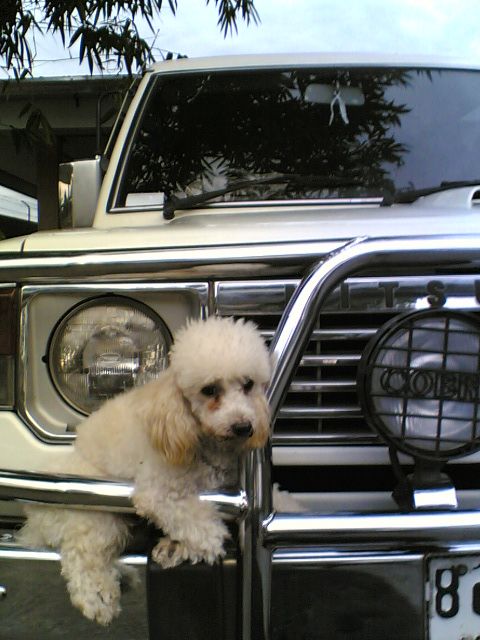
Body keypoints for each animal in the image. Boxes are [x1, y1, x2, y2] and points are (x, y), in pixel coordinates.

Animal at [19, 316, 273, 625]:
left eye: (248, 385)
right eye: (209, 390)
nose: (244, 427)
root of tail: (33, 520)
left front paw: (176, 546)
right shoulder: (158, 492)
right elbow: (190, 515)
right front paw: (209, 538)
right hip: (95, 512)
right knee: (82, 555)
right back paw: (97, 597)